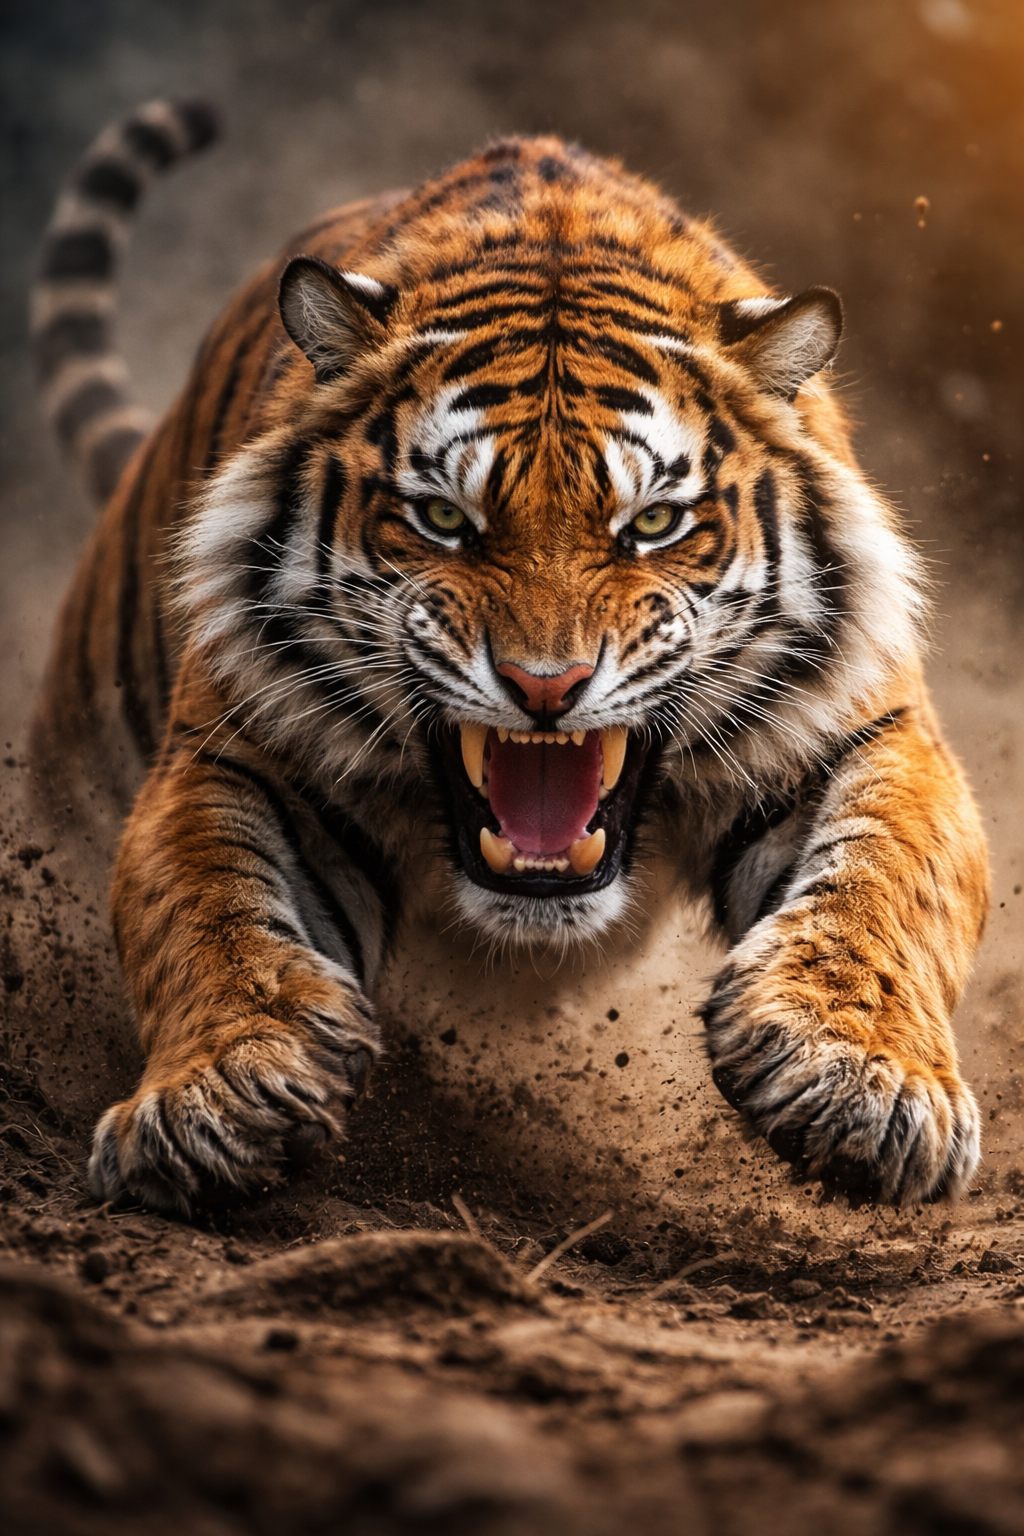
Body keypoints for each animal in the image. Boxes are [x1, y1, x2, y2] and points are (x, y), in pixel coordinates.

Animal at [27, 99, 988, 1217]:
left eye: (652, 524)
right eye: (444, 519)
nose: (545, 688)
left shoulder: (869, 730)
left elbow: (885, 885)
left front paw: (863, 1084)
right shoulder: (230, 749)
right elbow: (206, 908)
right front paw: (216, 1097)